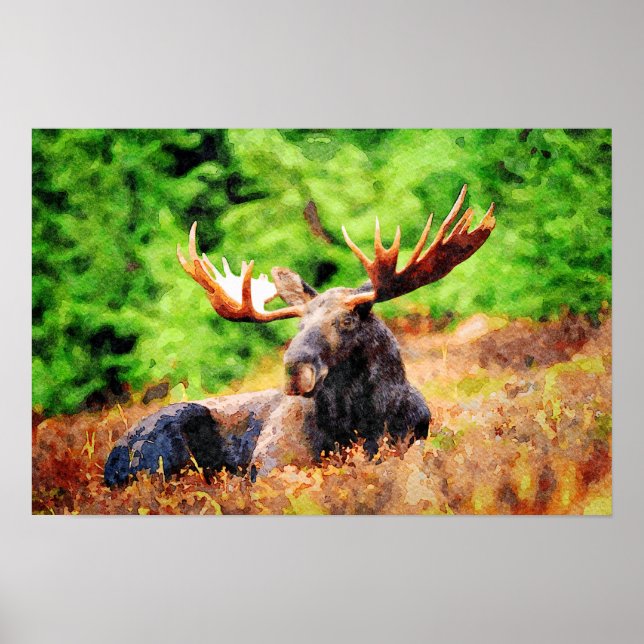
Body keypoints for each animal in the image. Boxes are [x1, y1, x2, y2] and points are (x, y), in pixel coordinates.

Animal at [104, 185, 495, 487]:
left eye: (347, 320)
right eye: (299, 324)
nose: (295, 369)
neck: (363, 420)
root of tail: (111, 463)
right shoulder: (269, 460)